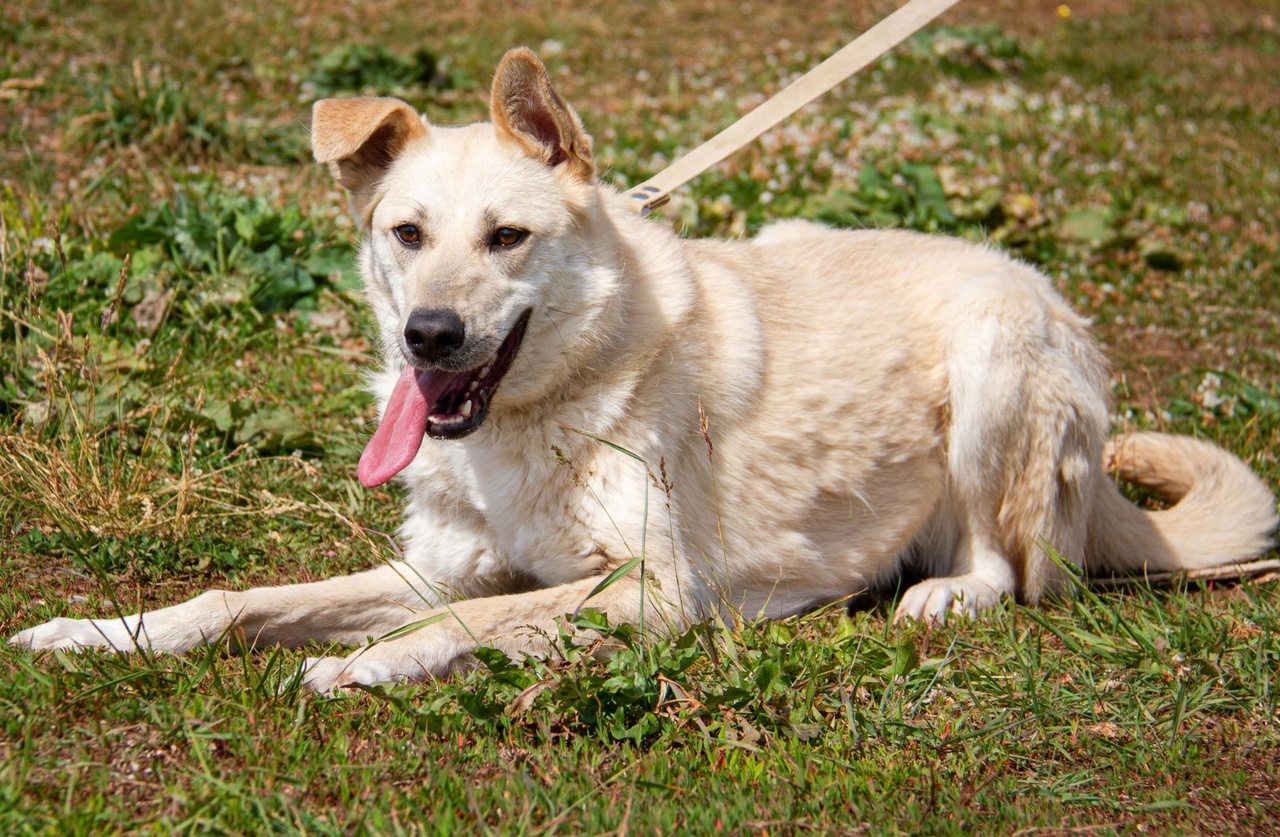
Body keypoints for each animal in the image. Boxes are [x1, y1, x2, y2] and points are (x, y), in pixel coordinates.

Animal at [12, 47, 1280, 696]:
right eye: (406, 234)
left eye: (506, 239)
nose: (428, 336)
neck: (536, 418)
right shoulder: (435, 567)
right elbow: (240, 601)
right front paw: (102, 635)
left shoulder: (648, 590)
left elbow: (481, 618)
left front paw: (365, 663)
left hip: (990, 357)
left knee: (1027, 572)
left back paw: (942, 594)